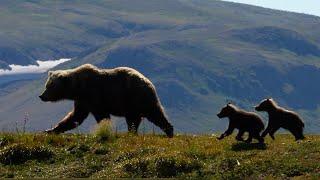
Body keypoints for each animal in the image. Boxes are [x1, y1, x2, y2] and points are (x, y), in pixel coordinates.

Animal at [40, 64, 175, 137]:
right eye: (46, 85)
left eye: (49, 86)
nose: (41, 96)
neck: (77, 88)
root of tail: (148, 81)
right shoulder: (82, 101)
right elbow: (75, 117)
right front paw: (50, 130)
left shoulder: (94, 95)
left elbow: (101, 115)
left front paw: (104, 128)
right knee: (141, 117)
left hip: (135, 97)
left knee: (153, 114)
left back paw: (169, 130)